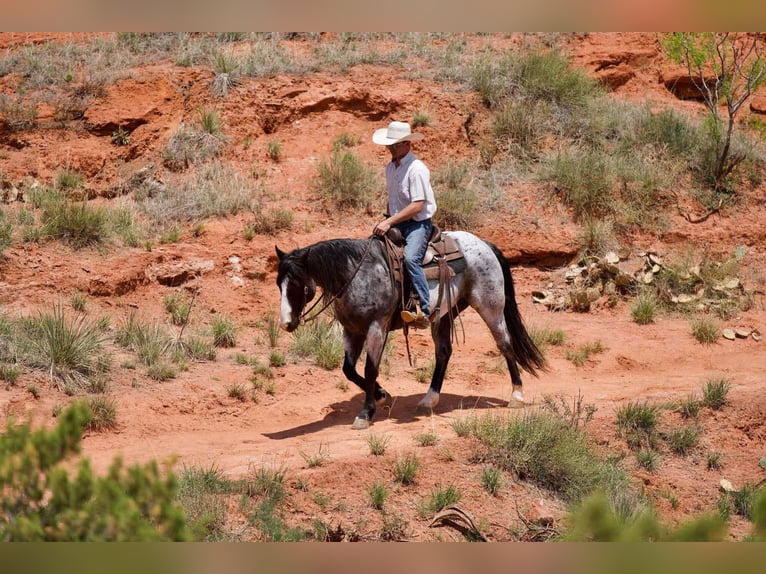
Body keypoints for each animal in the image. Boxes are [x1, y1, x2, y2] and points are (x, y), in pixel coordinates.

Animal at [275, 230, 547, 430]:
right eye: (279, 284)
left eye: (298, 284)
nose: (286, 323)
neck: (356, 274)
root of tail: (485, 244)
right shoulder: (352, 330)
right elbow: (349, 370)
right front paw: (382, 395)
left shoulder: (376, 327)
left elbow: (370, 369)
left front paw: (366, 413)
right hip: (444, 313)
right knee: (444, 352)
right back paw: (429, 399)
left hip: (490, 306)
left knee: (505, 344)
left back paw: (516, 395)